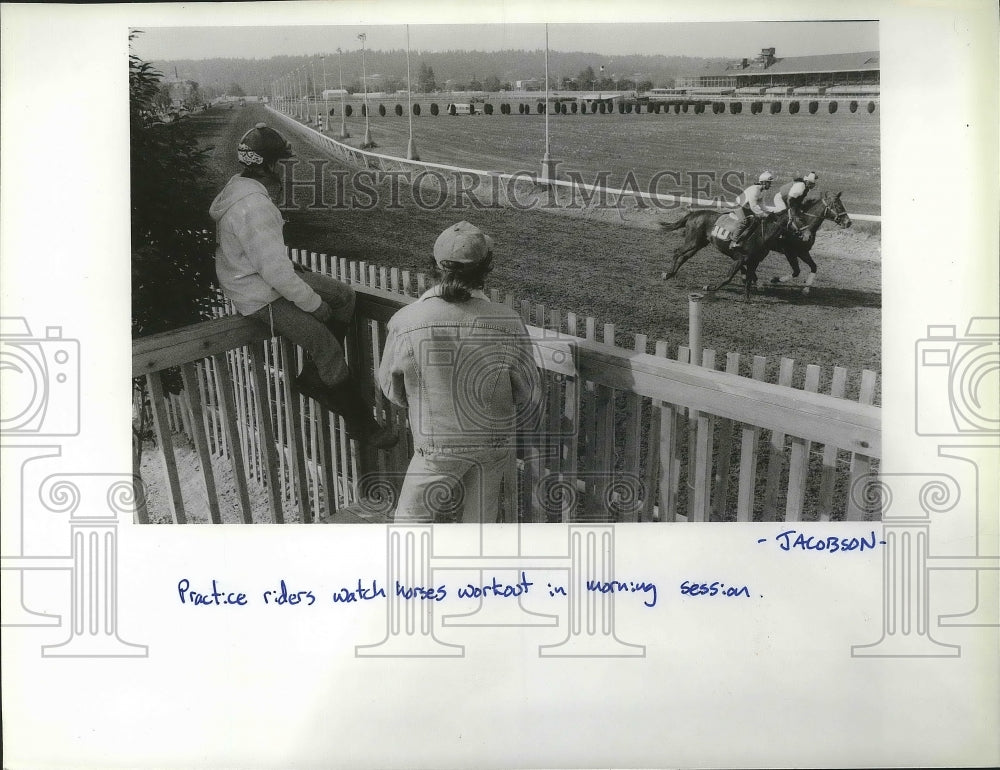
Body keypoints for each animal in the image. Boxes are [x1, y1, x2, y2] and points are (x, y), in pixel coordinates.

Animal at [660, 191, 856, 296]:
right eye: (837, 205)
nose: (848, 222)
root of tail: (693, 213)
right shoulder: (791, 251)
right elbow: (796, 271)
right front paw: (773, 280)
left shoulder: (802, 251)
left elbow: (813, 267)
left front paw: (806, 290)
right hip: (693, 241)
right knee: (678, 252)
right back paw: (667, 273)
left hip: (699, 243)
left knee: (684, 256)